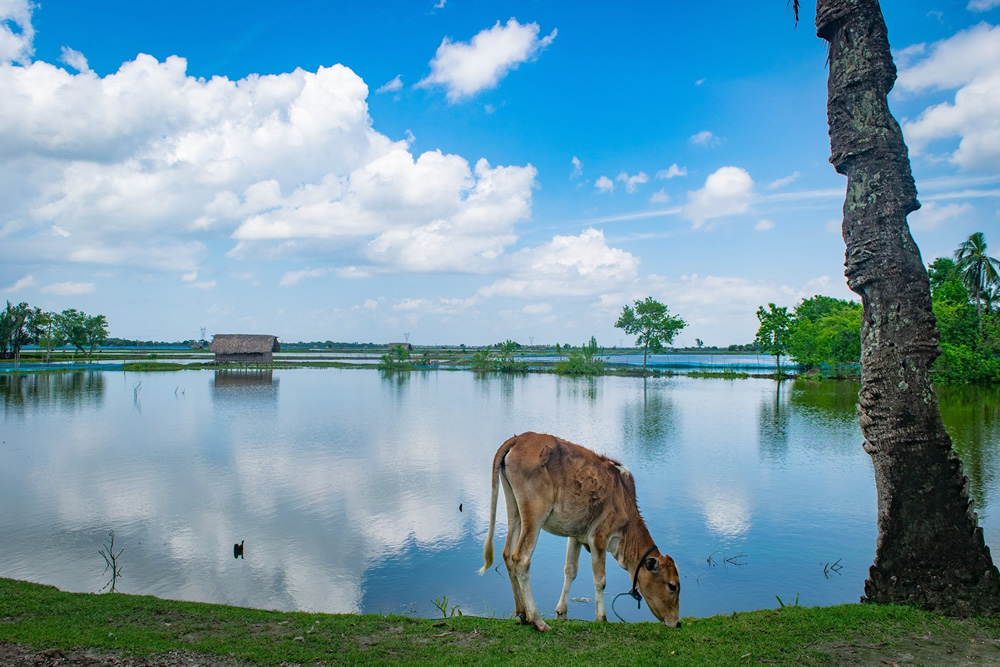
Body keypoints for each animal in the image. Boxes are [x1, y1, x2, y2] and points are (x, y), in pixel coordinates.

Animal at [480, 434, 684, 632]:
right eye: (673, 586)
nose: (678, 622)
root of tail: (519, 438)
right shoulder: (599, 537)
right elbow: (600, 580)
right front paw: (601, 618)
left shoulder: (576, 534)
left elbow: (570, 570)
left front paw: (561, 610)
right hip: (534, 515)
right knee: (521, 558)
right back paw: (537, 620)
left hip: (515, 512)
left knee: (507, 554)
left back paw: (522, 614)